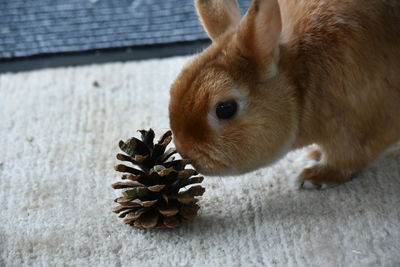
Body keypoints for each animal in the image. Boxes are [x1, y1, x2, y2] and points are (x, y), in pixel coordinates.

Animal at [168, 0, 400, 189]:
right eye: (173, 87)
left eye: (225, 109)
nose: (185, 153)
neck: (300, 83)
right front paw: (313, 156)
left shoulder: (353, 131)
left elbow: (345, 161)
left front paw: (313, 177)